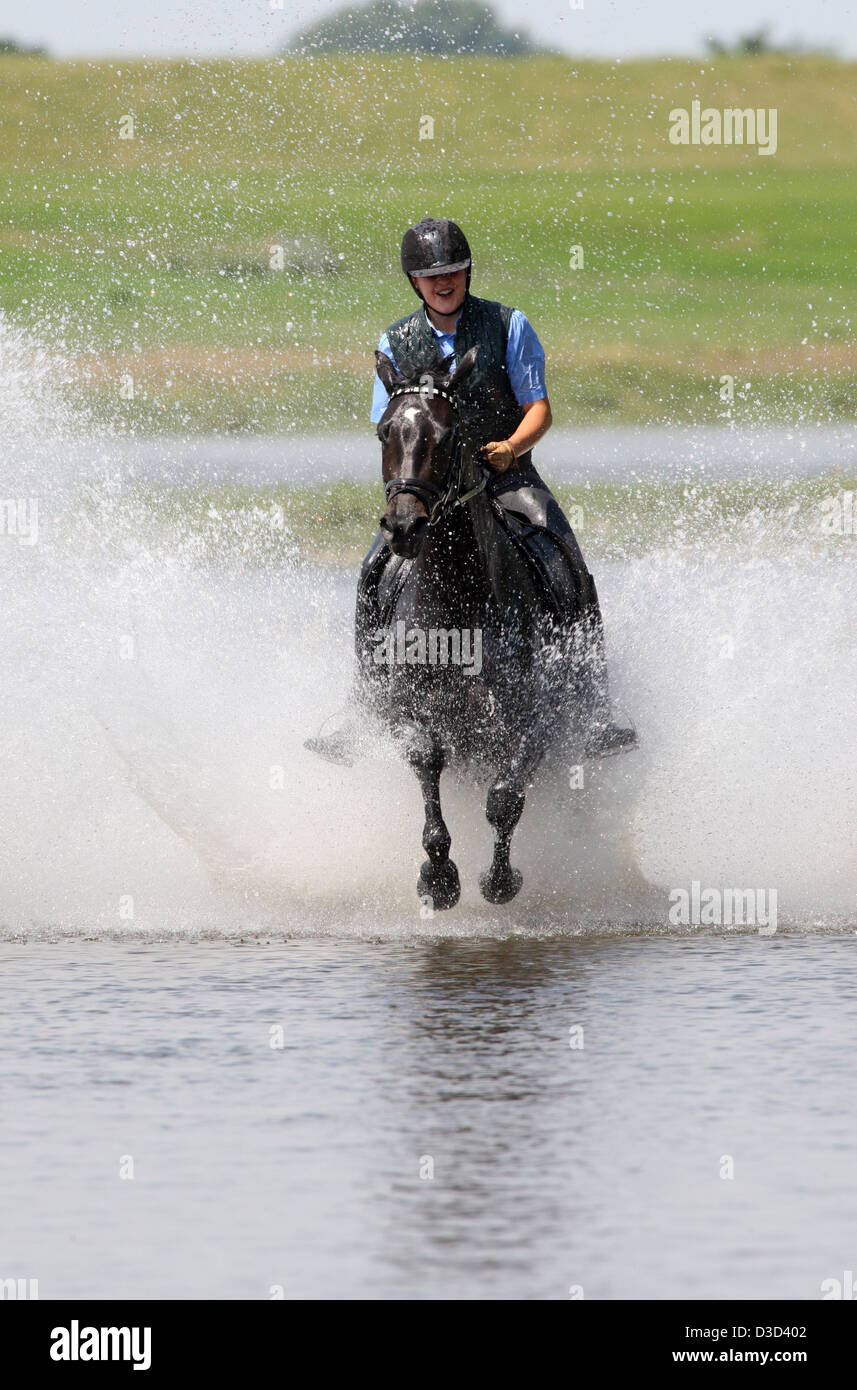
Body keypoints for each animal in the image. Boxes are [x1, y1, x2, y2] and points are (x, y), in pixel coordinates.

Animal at [361, 346, 601, 910]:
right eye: (384, 431)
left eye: (447, 434)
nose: (404, 526)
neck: (460, 607)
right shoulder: (412, 714)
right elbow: (428, 765)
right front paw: (438, 879)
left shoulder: (531, 720)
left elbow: (505, 798)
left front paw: (498, 880)